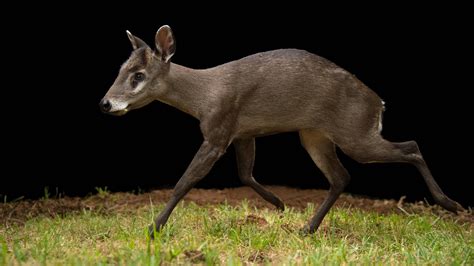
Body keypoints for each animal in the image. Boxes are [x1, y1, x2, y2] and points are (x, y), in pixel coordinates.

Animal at [99, 25, 462, 237]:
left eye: (138, 75)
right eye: (121, 68)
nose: (105, 103)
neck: (204, 96)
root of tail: (379, 104)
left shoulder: (218, 131)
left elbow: (185, 181)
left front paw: (153, 228)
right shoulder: (243, 133)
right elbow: (245, 173)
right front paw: (279, 204)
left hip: (356, 134)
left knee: (410, 146)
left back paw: (452, 204)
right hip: (313, 135)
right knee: (341, 176)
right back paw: (307, 228)